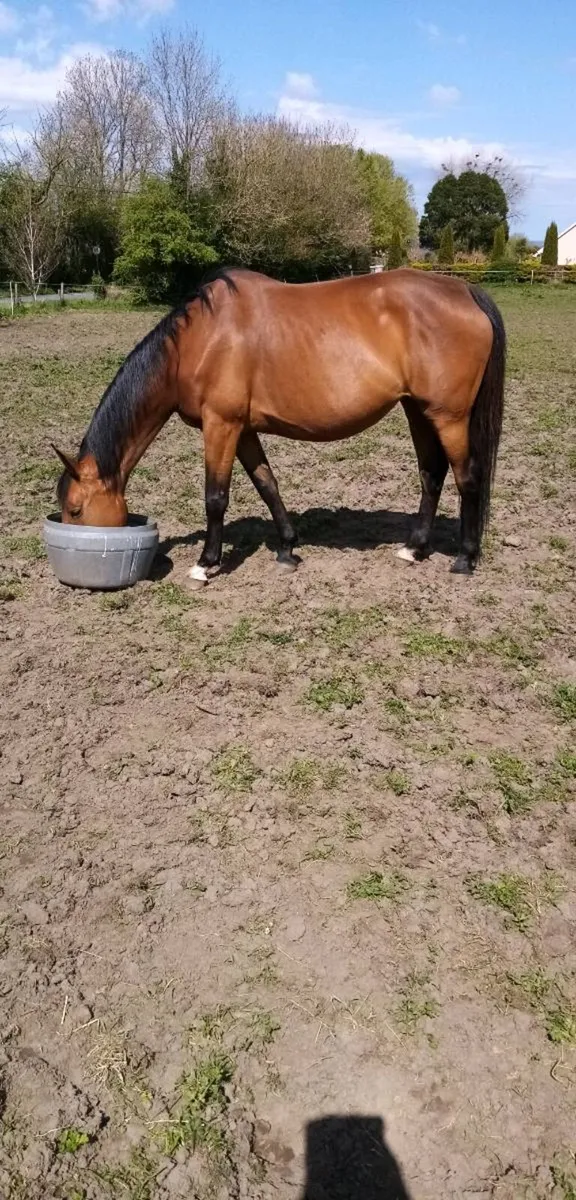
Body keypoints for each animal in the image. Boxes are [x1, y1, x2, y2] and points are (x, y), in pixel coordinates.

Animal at [54, 267, 505, 580]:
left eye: (75, 509)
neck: (197, 342)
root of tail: (466, 291)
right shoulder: (243, 429)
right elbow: (267, 484)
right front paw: (288, 548)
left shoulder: (221, 425)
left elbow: (215, 496)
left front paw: (206, 564)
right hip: (418, 410)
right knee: (431, 475)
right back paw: (414, 549)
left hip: (449, 417)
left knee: (467, 478)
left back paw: (464, 558)